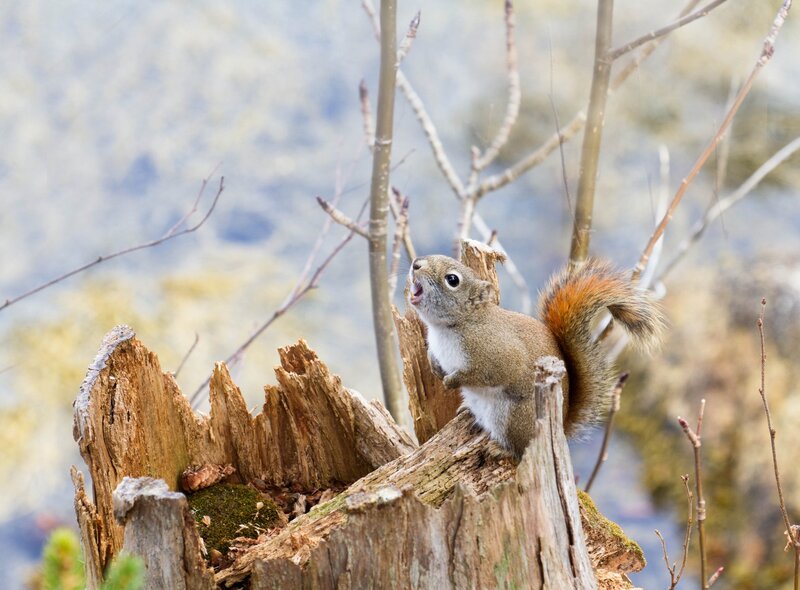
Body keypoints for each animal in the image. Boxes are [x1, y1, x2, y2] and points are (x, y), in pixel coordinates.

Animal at [408, 253, 665, 459]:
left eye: (452, 280)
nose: (416, 263)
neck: (450, 327)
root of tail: (560, 427)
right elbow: (435, 357)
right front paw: (435, 366)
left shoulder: (497, 354)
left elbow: (485, 374)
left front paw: (452, 380)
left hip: (515, 418)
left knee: (520, 450)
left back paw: (500, 449)